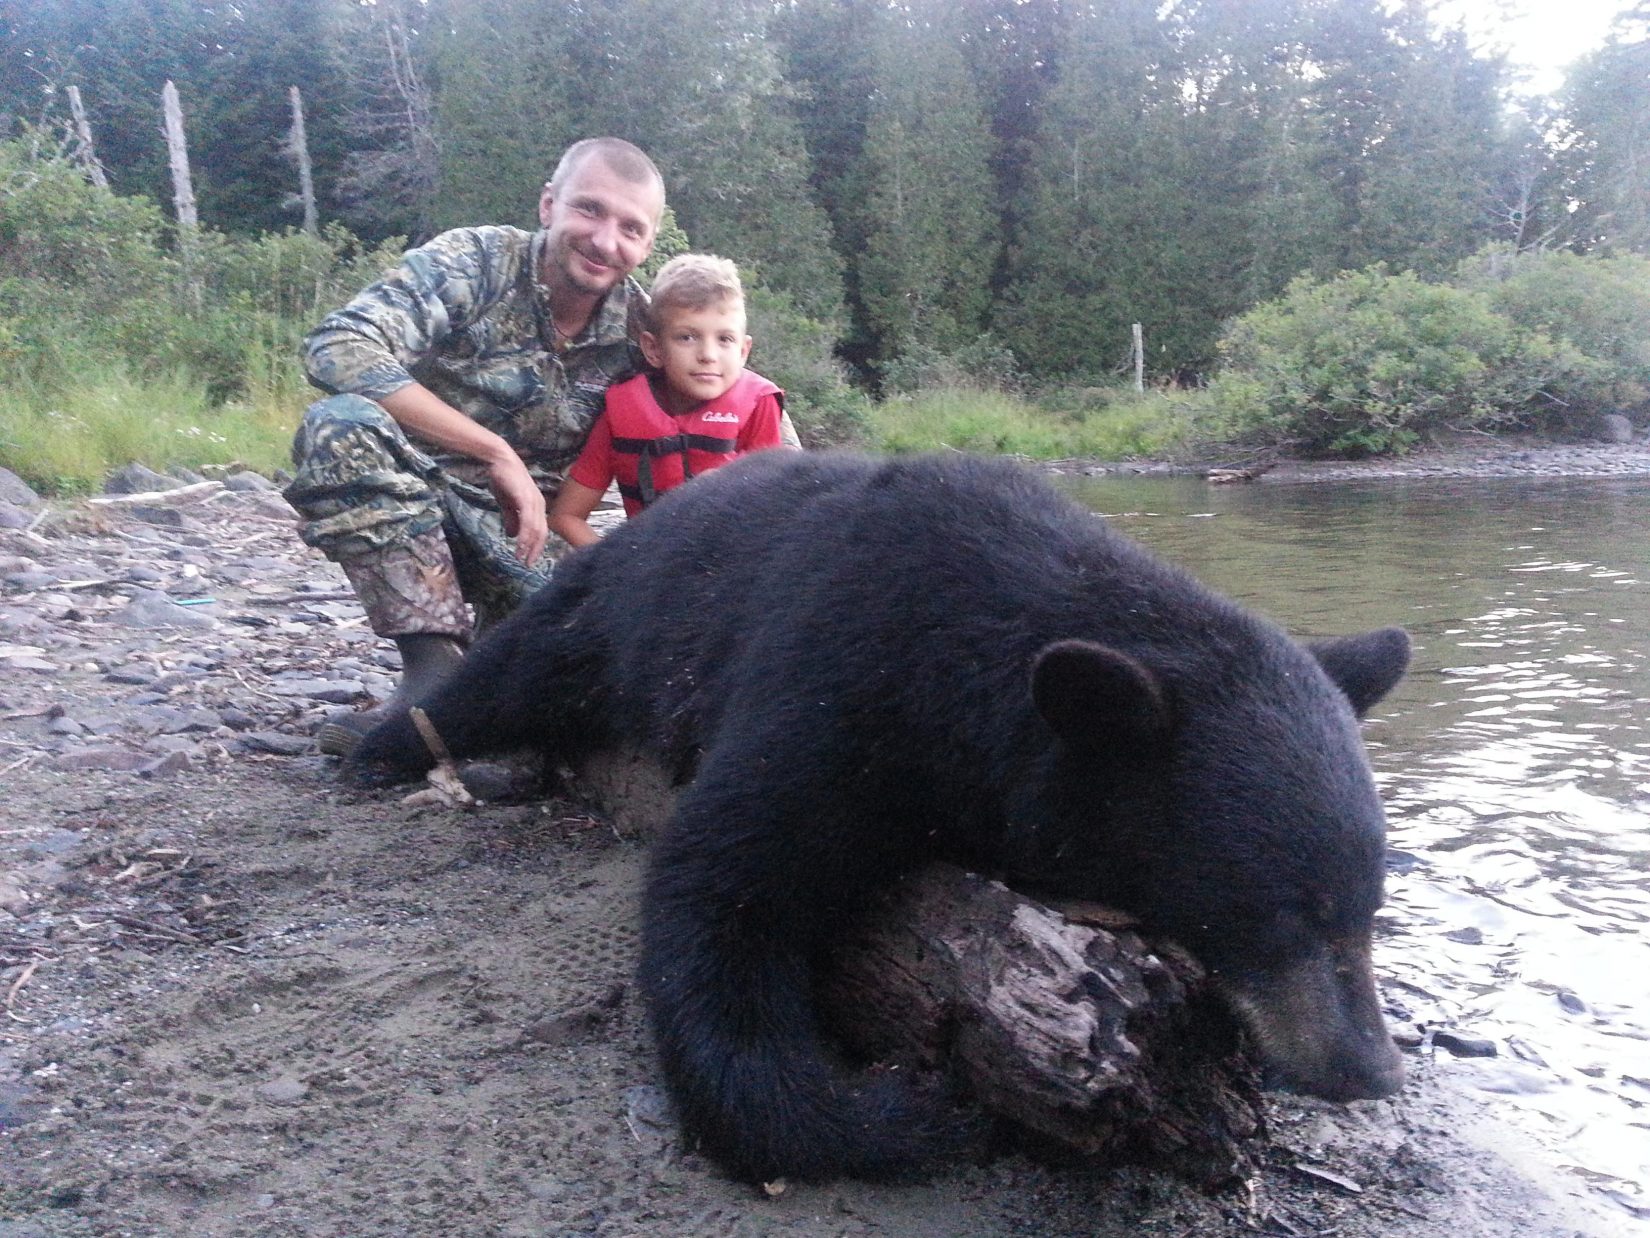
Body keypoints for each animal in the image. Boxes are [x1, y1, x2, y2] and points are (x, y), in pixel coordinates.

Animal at [351, 450, 1411, 1185]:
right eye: (1280, 913)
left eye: (1370, 909)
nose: (1374, 1069)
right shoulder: (849, 681)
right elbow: (719, 888)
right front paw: (895, 1113)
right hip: (615, 604)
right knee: (513, 671)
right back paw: (369, 740)